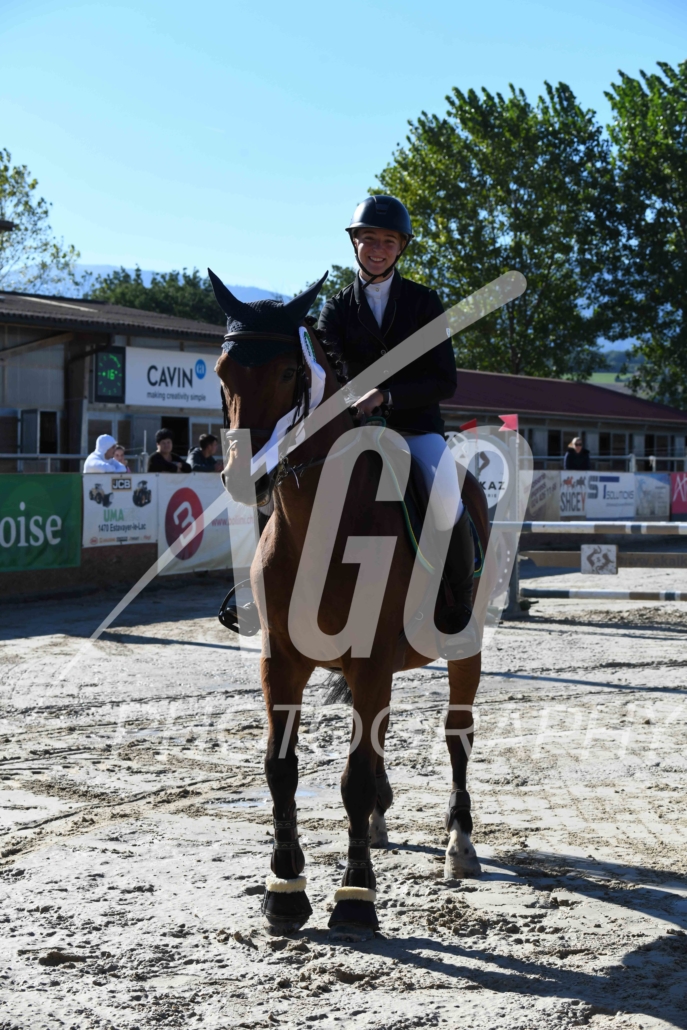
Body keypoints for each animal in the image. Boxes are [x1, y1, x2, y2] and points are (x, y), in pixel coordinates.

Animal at [210, 270, 490, 941]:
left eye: (290, 371)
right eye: (222, 369)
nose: (243, 476)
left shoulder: (369, 658)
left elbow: (355, 777)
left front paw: (357, 898)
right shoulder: (282, 661)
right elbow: (281, 768)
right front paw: (284, 892)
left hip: (462, 648)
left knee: (456, 735)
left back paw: (460, 845)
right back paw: (384, 826)